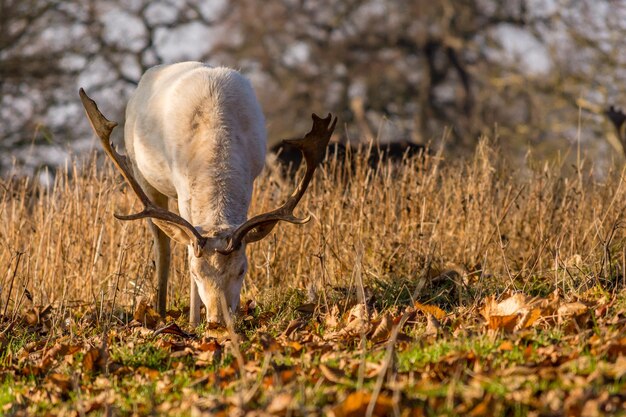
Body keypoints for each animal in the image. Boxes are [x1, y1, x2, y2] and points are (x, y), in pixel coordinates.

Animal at [80, 63, 334, 326]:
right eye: (195, 272)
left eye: (242, 270)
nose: (218, 320)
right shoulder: (182, 192)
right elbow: (186, 248)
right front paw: (193, 320)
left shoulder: (251, 180)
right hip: (142, 173)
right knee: (163, 243)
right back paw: (160, 311)